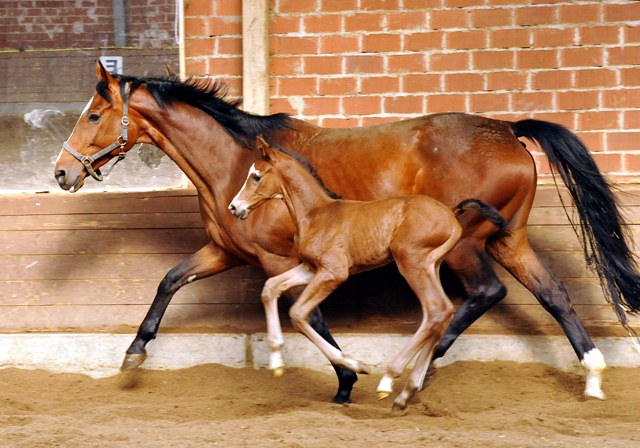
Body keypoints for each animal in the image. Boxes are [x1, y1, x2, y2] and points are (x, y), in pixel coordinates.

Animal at [228, 137, 508, 410]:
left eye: (256, 176)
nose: (234, 207)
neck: (316, 214)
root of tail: (451, 212)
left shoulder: (334, 272)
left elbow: (297, 313)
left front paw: (355, 365)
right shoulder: (311, 268)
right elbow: (270, 288)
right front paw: (276, 362)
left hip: (411, 262)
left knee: (437, 310)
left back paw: (389, 380)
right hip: (432, 265)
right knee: (442, 313)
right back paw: (407, 392)